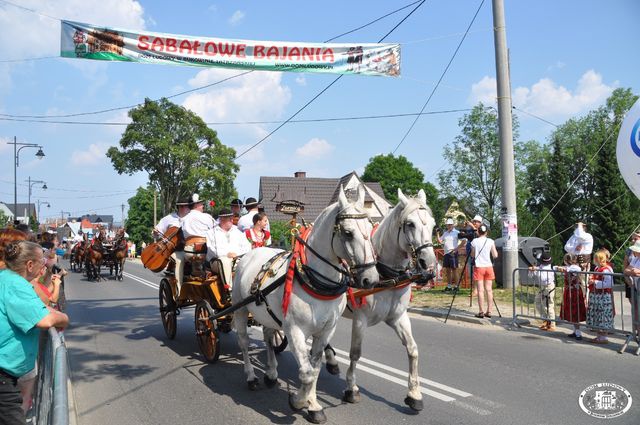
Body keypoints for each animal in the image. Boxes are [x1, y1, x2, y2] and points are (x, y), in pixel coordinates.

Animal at [231, 186, 378, 424]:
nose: (371, 279)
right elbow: (306, 373)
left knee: (269, 338)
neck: (315, 281)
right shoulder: (295, 330)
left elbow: (315, 369)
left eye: (371, 228)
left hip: (267, 315)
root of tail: (251, 253)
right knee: (243, 342)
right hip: (240, 309)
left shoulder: (326, 330)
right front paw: (299, 401)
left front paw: (313, 404)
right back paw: (251, 377)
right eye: (348, 233)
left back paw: (271, 374)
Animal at [322, 188, 438, 410]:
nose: (429, 263)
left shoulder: (398, 317)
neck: (386, 276)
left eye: (433, 224)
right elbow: (355, 353)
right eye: (410, 223)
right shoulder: (360, 319)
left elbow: (413, 349)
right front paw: (352, 389)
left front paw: (414, 394)